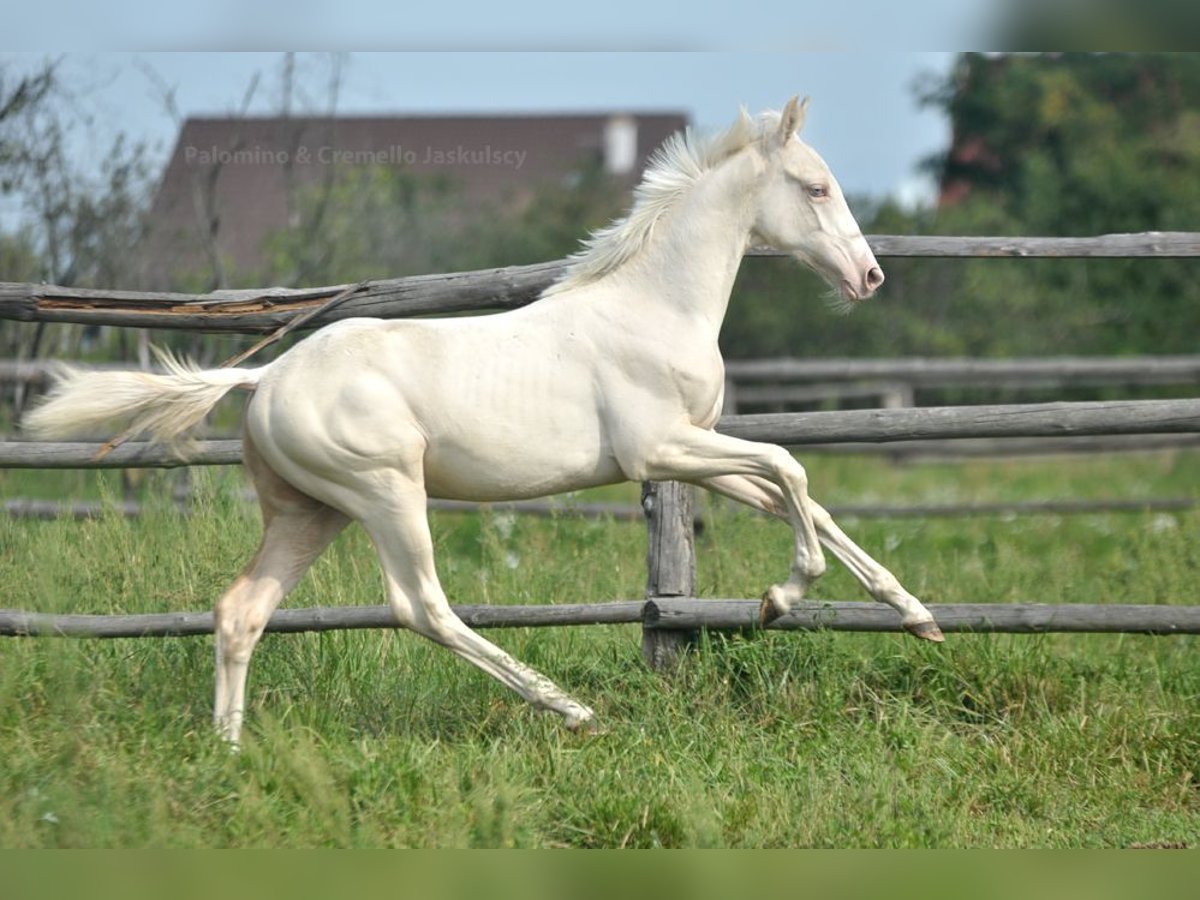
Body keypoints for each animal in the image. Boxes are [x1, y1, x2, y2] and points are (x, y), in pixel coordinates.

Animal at [28, 97, 940, 748]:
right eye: (816, 187)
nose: (869, 276)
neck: (654, 306)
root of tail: (267, 374)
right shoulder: (660, 451)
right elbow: (792, 465)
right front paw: (780, 598)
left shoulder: (698, 454)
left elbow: (800, 494)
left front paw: (915, 615)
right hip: (386, 493)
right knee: (421, 607)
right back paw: (568, 709)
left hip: (309, 511)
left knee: (241, 609)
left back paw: (230, 749)